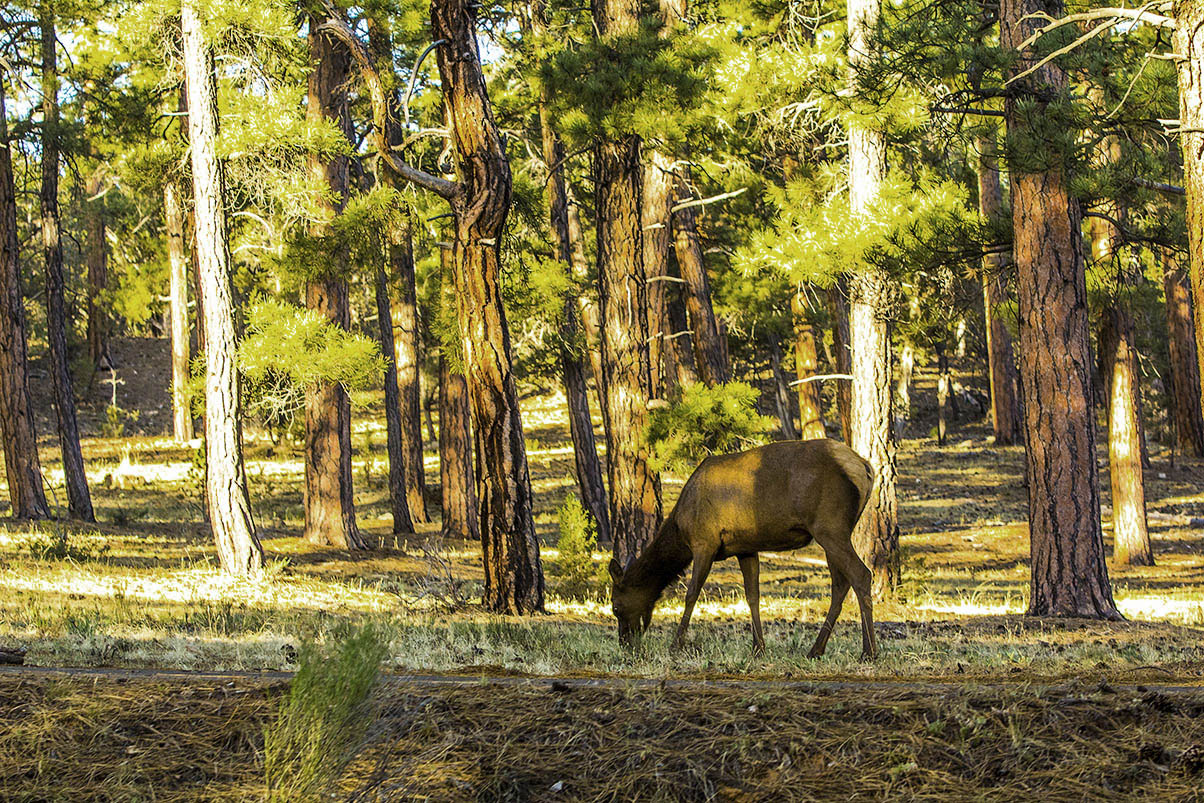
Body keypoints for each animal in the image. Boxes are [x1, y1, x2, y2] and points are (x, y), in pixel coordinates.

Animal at [606, 440, 881, 659]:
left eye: (616, 607)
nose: (625, 643)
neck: (680, 529)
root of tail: (865, 468)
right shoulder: (745, 548)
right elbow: (752, 596)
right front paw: (758, 647)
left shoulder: (704, 542)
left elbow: (691, 594)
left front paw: (675, 645)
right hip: (834, 531)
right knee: (840, 584)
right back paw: (816, 649)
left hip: (829, 526)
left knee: (861, 574)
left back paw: (869, 651)